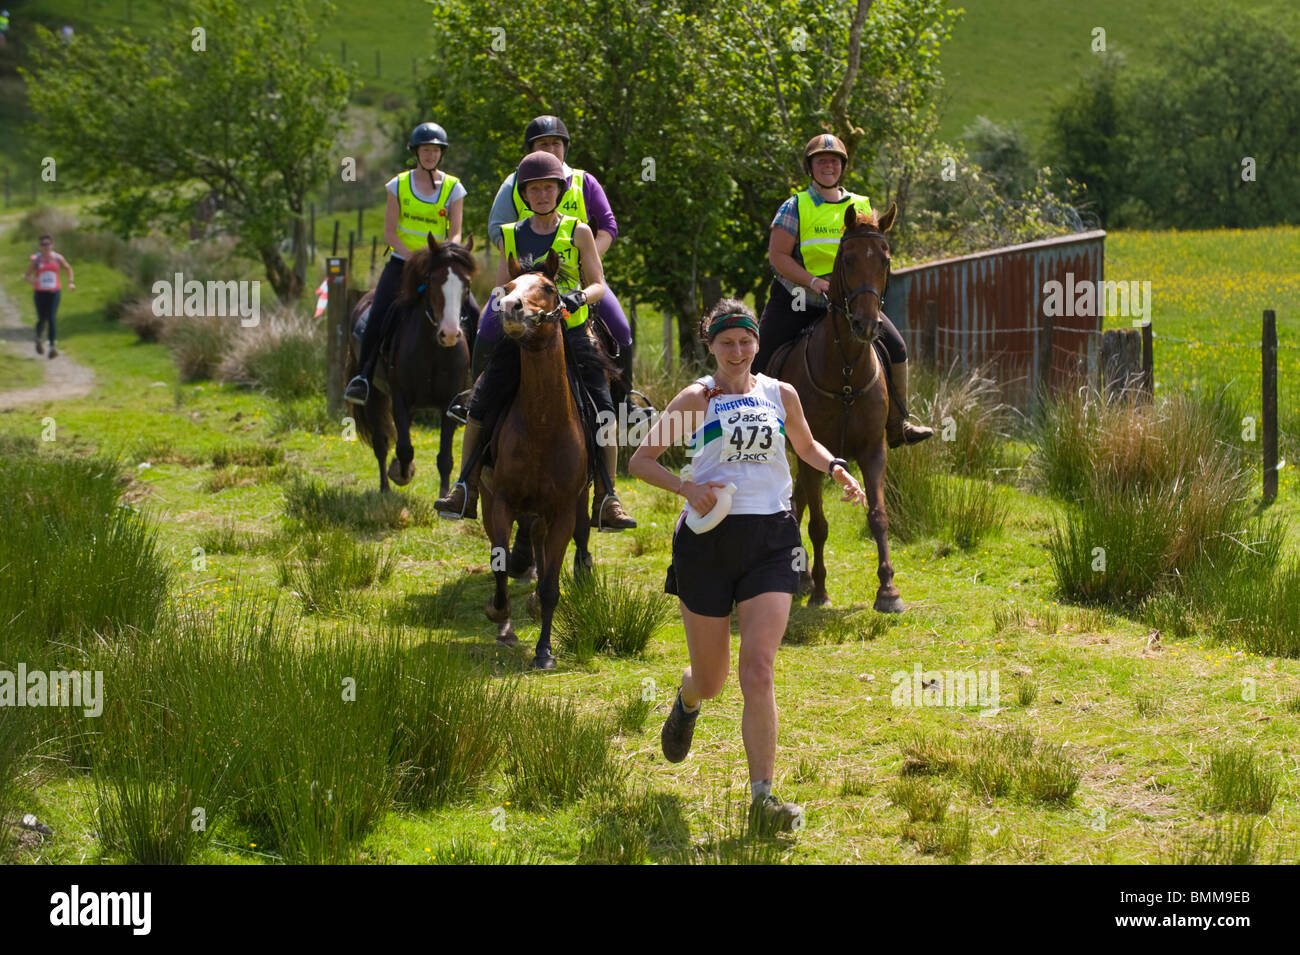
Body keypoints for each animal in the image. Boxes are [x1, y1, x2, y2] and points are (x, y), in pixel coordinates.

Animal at [348, 236, 475, 496]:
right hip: (375, 395)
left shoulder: (450, 402)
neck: (435, 352)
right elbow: (404, 448)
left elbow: (445, 458)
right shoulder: (400, 398)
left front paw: (443, 496)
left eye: (466, 284)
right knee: (380, 444)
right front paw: (401, 473)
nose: (449, 334)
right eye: (432, 281)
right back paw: (385, 488)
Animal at [483, 250, 595, 670]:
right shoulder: (501, 502)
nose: (511, 308)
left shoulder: (562, 511)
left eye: (548, 287)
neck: (543, 423)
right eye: (508, 287)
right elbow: (499, 562)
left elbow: (550, 586)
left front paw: (544, 651)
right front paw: (500, 614)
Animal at [764, 205, 899, 615]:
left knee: (797, 502)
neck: (846, 374)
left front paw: (888, 590)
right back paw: (804, 577)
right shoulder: (812, 456)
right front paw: (820, 591)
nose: (866, 325)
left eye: (885, 260)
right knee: (798, 505)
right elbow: (819, 525)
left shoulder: (873, 450)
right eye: (848, 258)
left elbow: (878, 516)